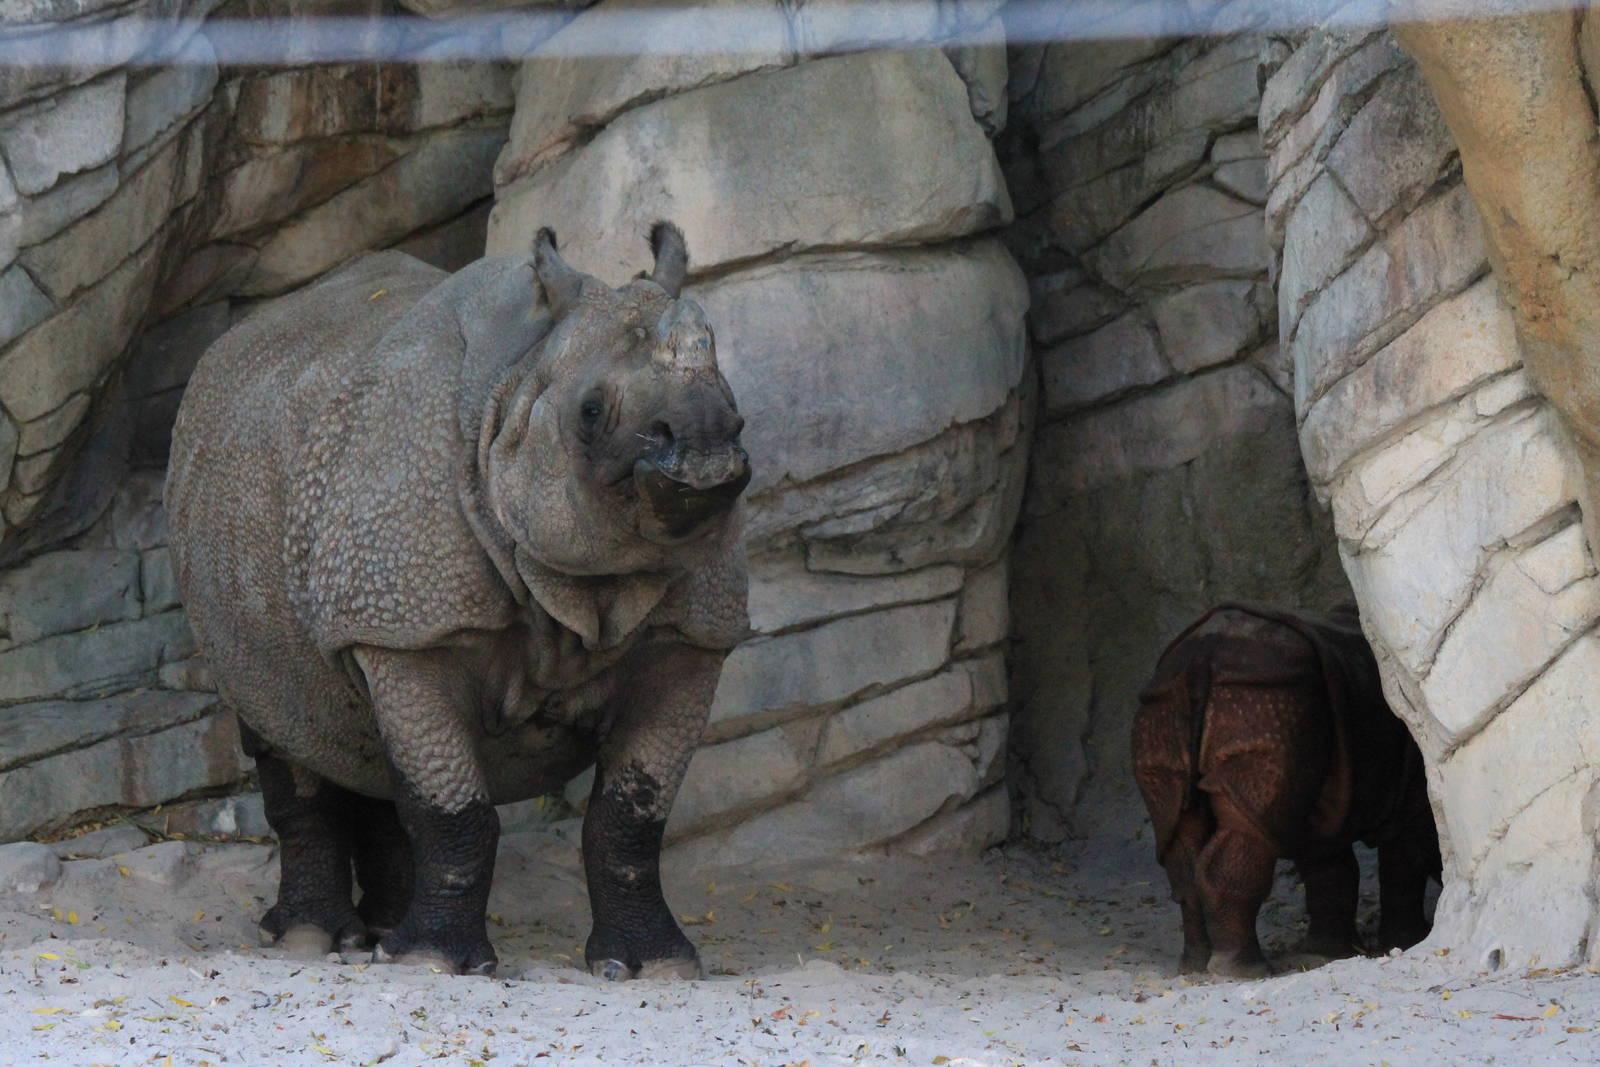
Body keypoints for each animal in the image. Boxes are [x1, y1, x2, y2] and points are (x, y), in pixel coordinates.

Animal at [165, 224, 750, 980]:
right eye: (591, 412)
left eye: (736, 411)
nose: (706, 446)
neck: (521, 378)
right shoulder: (411, 627)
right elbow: (454, 807)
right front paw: (434, 963)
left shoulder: (690, 636)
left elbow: (632, 816)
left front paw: (655, 966)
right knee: (282, 720)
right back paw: (313, 941)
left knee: (365, 742)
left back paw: (383, 931)